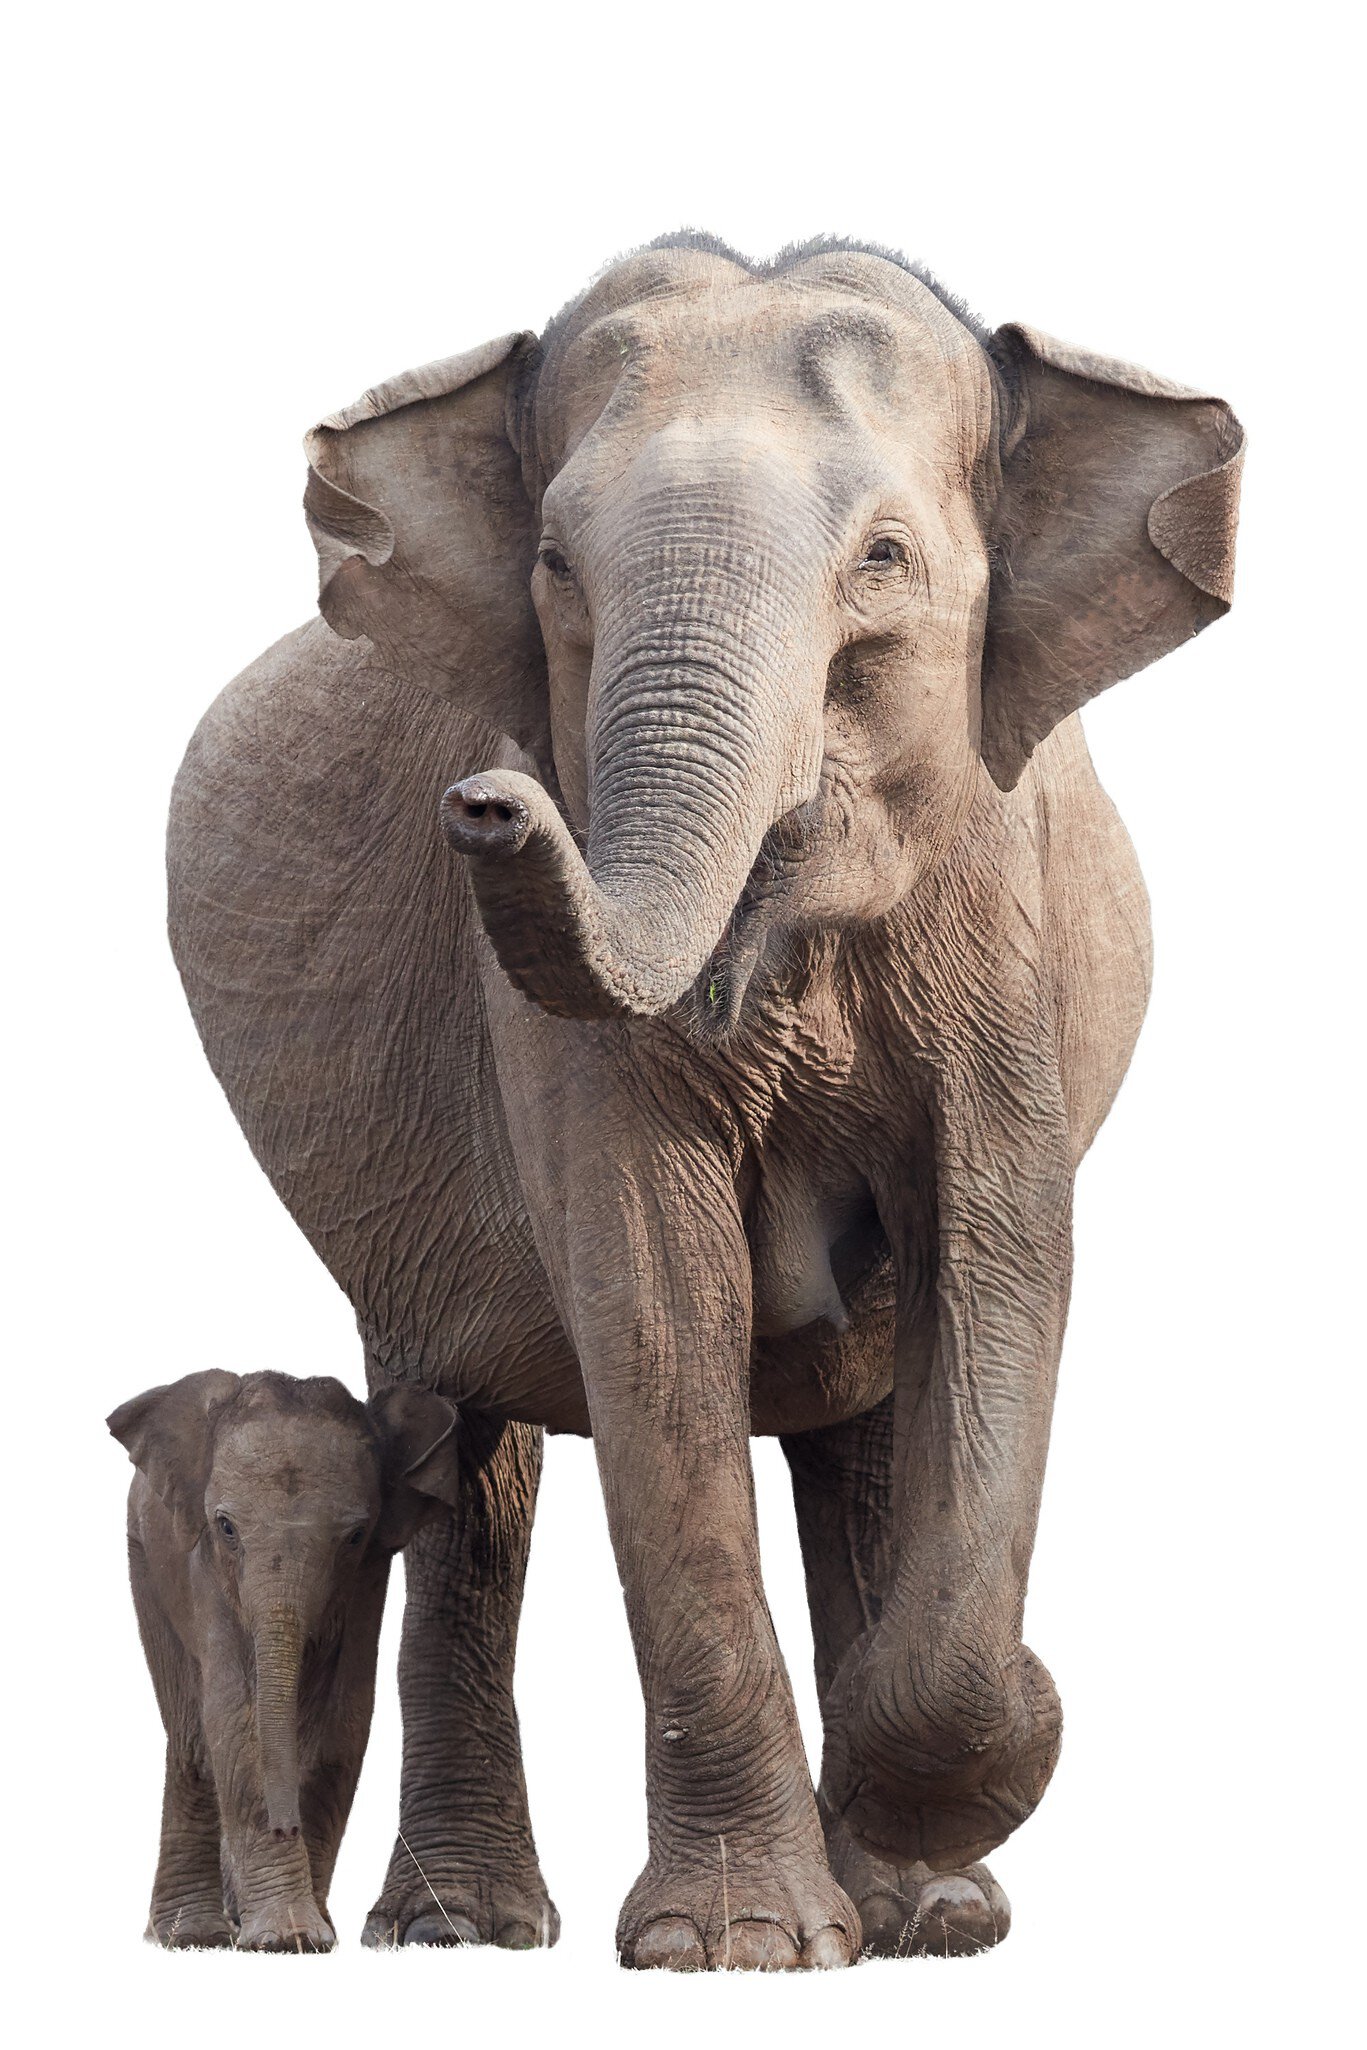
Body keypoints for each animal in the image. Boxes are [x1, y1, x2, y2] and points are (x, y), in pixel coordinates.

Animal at [108, 1370, 464, 1950]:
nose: (285, 1826)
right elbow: (237, 1720)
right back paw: (192, 1936)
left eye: (355, 1537)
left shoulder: (368, 1580)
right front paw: (284, 1939)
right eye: (226, 1528)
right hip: (143, 1557)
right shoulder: (203, 1567)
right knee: (191, 1738)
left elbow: (342, 1725)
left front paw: (312, 1934)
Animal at [166, 234, 1243, 1969]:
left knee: (858, 1420)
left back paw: (922, 1912)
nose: (486, 803)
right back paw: (467, 1929)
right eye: (552, 566)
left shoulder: (997, 917)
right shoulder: (539, 1018)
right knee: (460, 1444)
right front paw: (732, 1947)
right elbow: (653, 1293)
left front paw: (919, 1792)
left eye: (883, 558)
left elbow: (998, 1263)